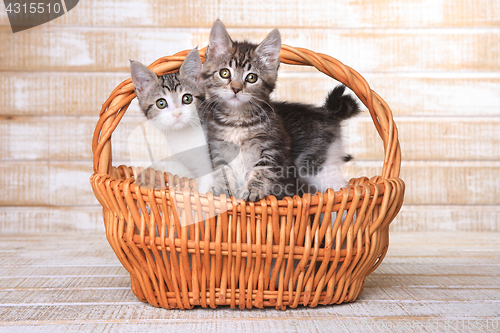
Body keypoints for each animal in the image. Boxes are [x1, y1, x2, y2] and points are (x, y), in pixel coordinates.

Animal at [200, 19, 296, 201]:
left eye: (252, 77)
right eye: (225, 73)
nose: (236, 89)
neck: (236, 121)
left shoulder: (275, 144)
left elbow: (262, 169)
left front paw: (252, 190)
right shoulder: (215, 144)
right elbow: (222, 167)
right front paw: (222, 187)